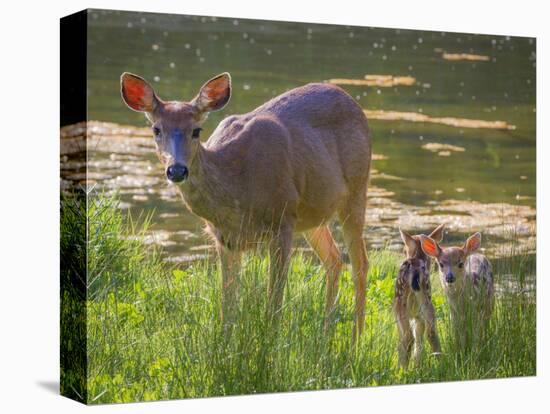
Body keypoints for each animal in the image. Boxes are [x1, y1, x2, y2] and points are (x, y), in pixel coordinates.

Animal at [121, 71, 376, 340]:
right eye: (156, 129)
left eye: (196, 130)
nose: (177, 170)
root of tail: (352, 101)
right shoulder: (225, 238)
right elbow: (228, 305)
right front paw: (225, 344)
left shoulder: (282, 219)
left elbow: (274, 301)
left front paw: (270, 344)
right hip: (312, 214)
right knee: (334, 260)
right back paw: (325, 336)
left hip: (356, 190)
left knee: (360, 264)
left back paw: (355, 340)